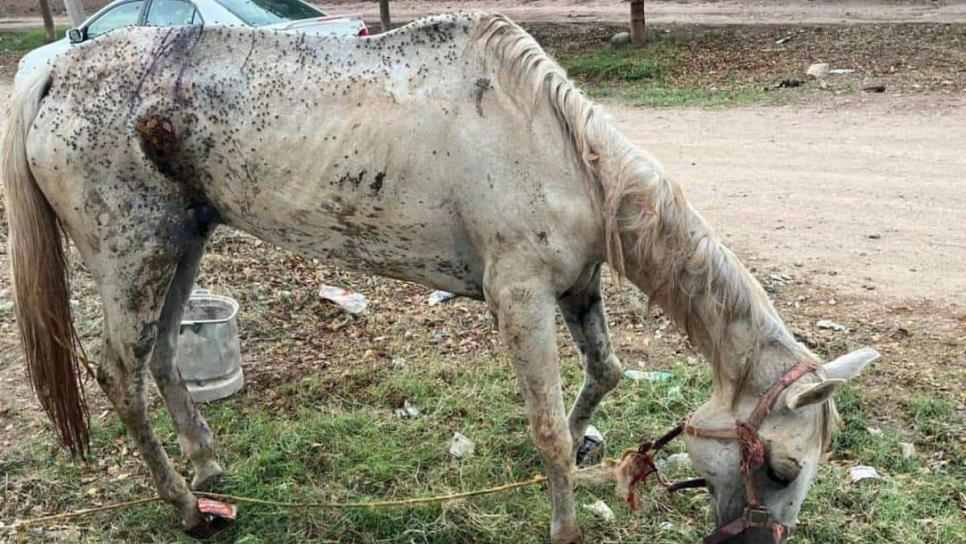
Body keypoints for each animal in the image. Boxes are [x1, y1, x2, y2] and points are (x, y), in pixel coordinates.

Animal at [1, 12, 876, 540]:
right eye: (782, 466)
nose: (758, 541)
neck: (560, 150)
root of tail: (54, 71)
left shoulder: (575, 285)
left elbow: (606, 371)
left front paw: (585, 440)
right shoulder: (518, 296)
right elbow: (546, 425)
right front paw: (565, 518)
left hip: (183, 242)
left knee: (162, 356)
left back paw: (209, 469)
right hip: (132, 254)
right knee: (119, 372)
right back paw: (187, 507)